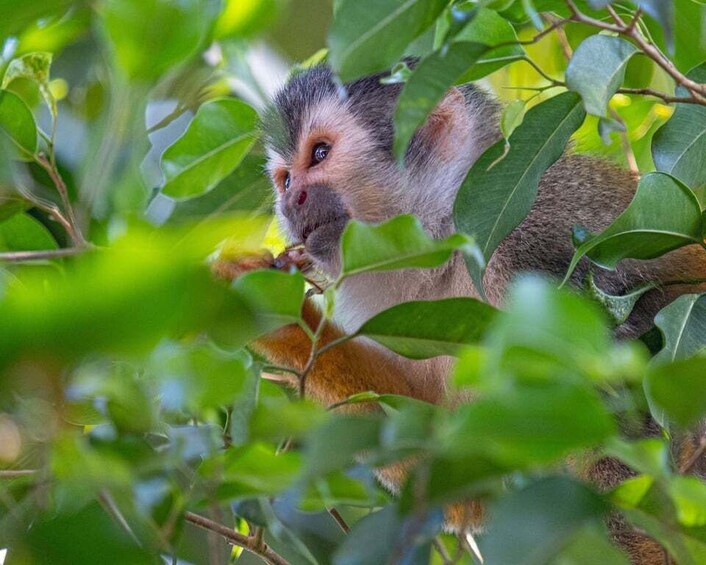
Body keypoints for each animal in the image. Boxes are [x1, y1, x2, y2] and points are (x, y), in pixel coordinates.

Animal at [214, 65, 704, 560]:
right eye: (285, 179)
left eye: (319, 154)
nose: (291, 200)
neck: (448, 244)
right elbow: (457, 469)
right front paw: (264, 305)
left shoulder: (546, 238)